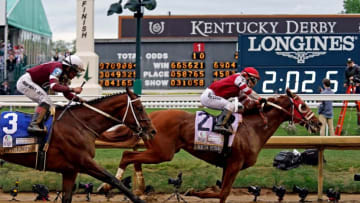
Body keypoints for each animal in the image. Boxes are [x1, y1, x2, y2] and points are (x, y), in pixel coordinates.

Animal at [0, 89, 155, 203]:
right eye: (139, 108)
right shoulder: (84, 161)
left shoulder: (70, 170)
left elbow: (67, 198)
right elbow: (113, 179)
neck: (80, 125)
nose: (153, 131)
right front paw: (137, 199)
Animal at [97, 89, 320, 203]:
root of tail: (152, 116)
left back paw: (136, 188)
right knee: (127, 155)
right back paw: (108, 185)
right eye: (303, 106)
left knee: (132, 157)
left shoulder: (228, 165)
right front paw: (192, 191)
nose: (317, 123)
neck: (253, 128)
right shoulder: (234, 164)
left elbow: (222, 193)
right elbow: (222, 192)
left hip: (159, 150)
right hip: (163, 152)